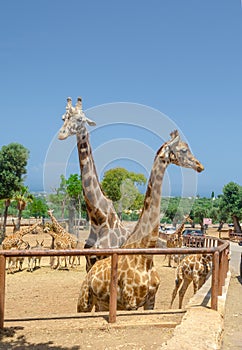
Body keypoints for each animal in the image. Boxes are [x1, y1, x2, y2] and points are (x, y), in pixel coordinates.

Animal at [76, 130, 203, 310]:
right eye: (184, 150)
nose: (200, 166)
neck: (146, 255)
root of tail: (91, 273)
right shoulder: (131, 302)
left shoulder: (150, 300)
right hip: (84, 301)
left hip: (102, 303)